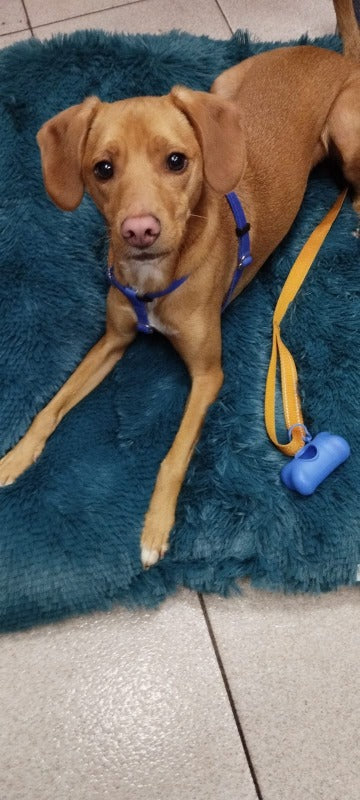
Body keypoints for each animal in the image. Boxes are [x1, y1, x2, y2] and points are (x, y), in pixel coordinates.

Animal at [0, 0, 360, 564]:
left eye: (177, 161)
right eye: (102, 169)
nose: (138, 230)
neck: (154, 278)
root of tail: (330, 55)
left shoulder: (209, 375)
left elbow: (173, 455)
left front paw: (155, 528)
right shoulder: (112, 340)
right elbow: (50, 407)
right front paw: (15, 459)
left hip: (347, 134)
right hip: (221, 88)